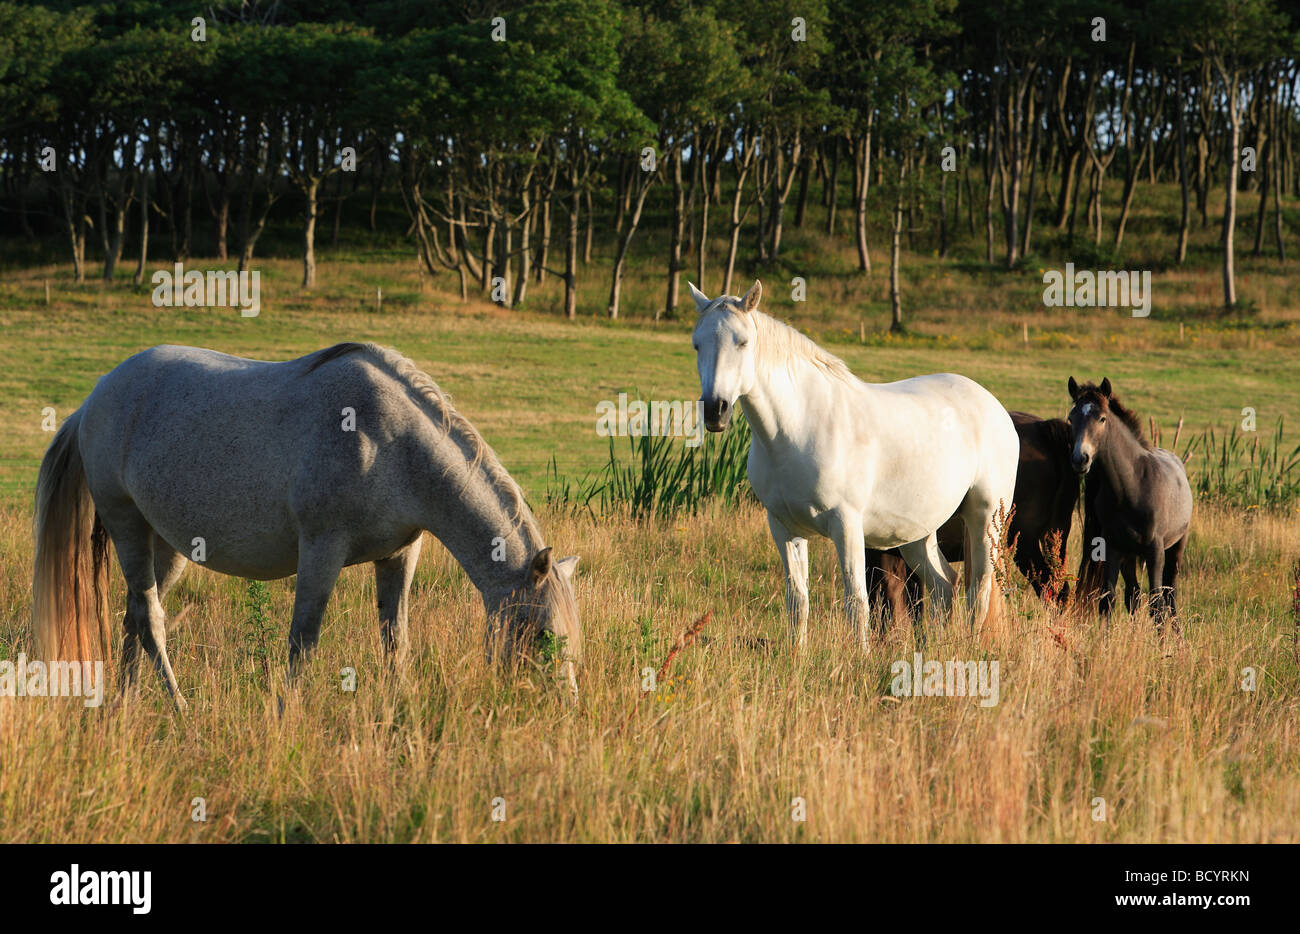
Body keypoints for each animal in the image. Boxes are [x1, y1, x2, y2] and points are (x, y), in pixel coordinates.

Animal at [30, 346, 582, 707]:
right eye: (541, 635)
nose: (563, 709)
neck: (389, 441)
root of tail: (95, 398)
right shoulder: (322, 550)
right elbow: (304, 641)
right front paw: (286, 714)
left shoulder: (400, 554)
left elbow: (395, 641)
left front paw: (398, 709)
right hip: (125, 522)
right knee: (150, 619)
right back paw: (180, 711)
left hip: (165, 543)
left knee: (134, 618)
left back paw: (125, 709)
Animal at [696, 283, 1019, 650]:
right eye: (697, 344)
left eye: (743, 342)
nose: (715, 410)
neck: (800, 426)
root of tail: (995, 406)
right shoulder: (783, 527)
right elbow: (798, 599)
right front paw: (797, 655)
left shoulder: (846, 525)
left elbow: (856, 601)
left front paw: (860, 657)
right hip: (918, 532)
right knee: (943, 584)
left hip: (986, 518)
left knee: (979, 589)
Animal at [1060, 379, 1190, 629]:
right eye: (1071, 418)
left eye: (1102, 418)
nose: (1080, 459)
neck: (1132, 487)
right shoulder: (1111, 547)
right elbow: (1108, 600)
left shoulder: (1155, 550)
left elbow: (1157, 604)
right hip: (1129, 556)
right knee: (1134, 594)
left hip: (1176, 546)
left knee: (1170, 595)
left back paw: (1178, 636)